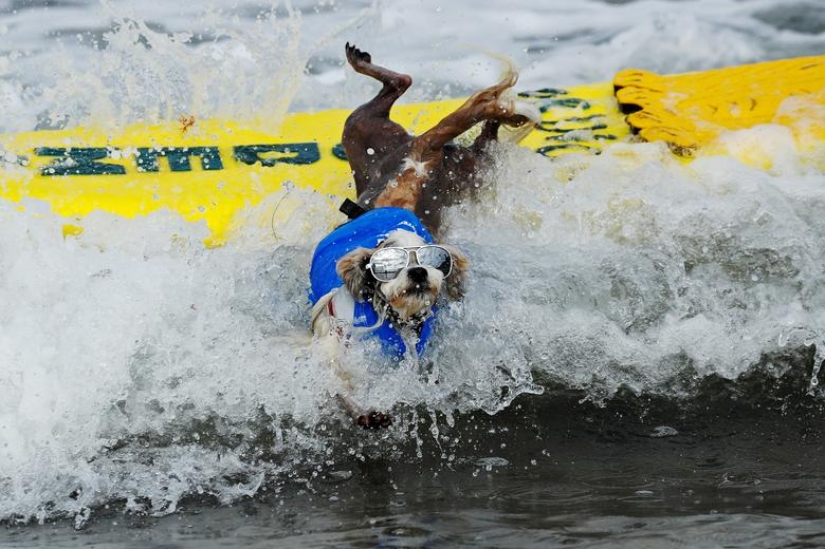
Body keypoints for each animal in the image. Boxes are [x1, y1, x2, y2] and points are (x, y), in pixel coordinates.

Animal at [306, 44, 536, 428]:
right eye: (389, 263)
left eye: (430, 257)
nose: (417, 271)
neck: (397, 319)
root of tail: (411, 159)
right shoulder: (337, 355)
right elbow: (344, 390)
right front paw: (367, 412)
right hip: (448, 163)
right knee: (467, 123)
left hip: (366, 135)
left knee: (443, 100)